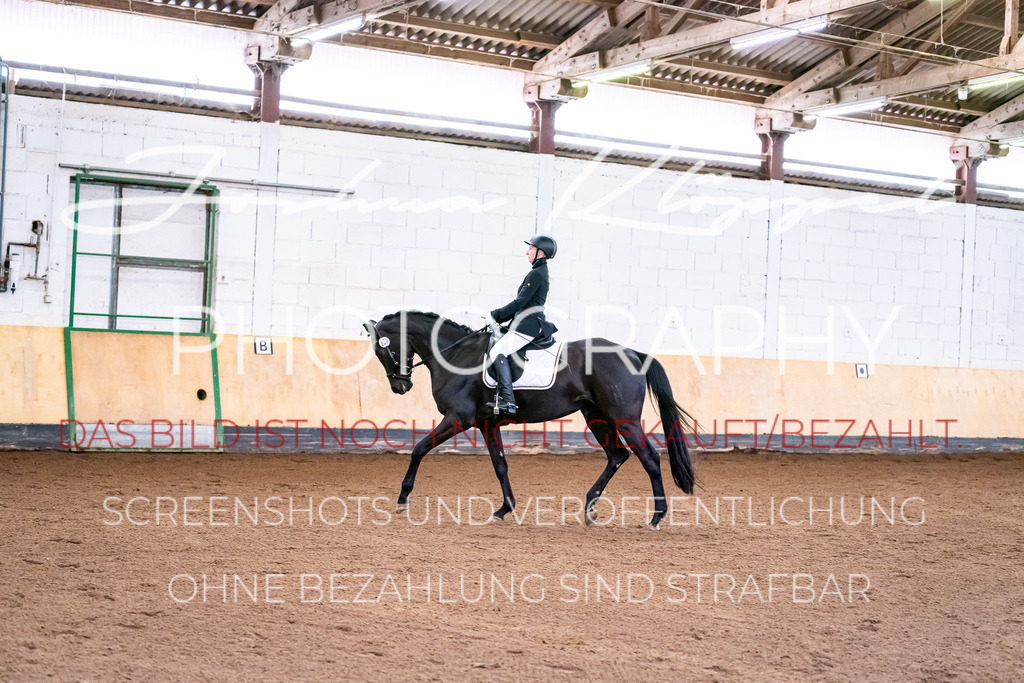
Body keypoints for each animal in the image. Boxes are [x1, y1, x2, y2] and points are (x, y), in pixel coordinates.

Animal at [362, 309, 696, 528]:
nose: (400, 387)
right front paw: (503, 509)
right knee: (617, 455)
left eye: (381, 351)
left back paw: (656, 517)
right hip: (596, 416)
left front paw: (402, 499)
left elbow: (419, 449)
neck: (458, 356)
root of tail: (632, 353)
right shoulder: (487, 424)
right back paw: (589, 508)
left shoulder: (459, 418)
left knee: (648, 458)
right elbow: (500, 466)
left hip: (623, 419)